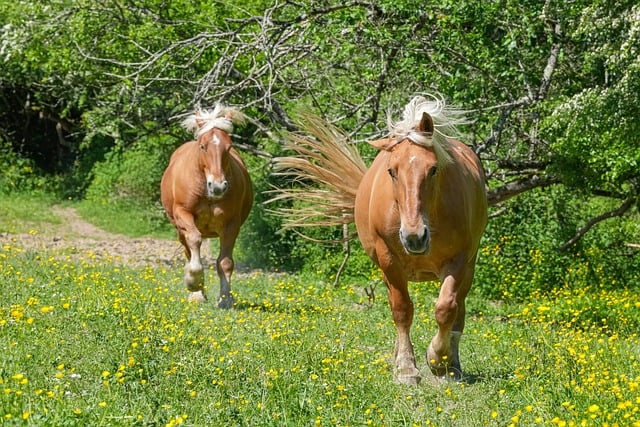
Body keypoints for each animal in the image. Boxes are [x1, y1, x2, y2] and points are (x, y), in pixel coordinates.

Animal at [160, 104, 253, 308]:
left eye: (229, 147)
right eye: (203, 146)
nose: (217, 186)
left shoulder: (231, 224)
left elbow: (225, 263)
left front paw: (225, 298)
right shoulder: (183, 214)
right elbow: (194, 241)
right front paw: (194, 283)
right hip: (180, 230)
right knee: (189, 250)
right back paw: (197, 293)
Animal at [272, 95, 487, 384]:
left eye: (433, 169)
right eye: (392, 171)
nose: (414, 237)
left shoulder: (459, 260)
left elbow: (446, 308)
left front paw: (437, 358)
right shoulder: (389, 259)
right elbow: (402, 309)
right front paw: (406, 367)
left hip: (469, 267)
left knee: (459, 310)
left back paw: (452, 364)